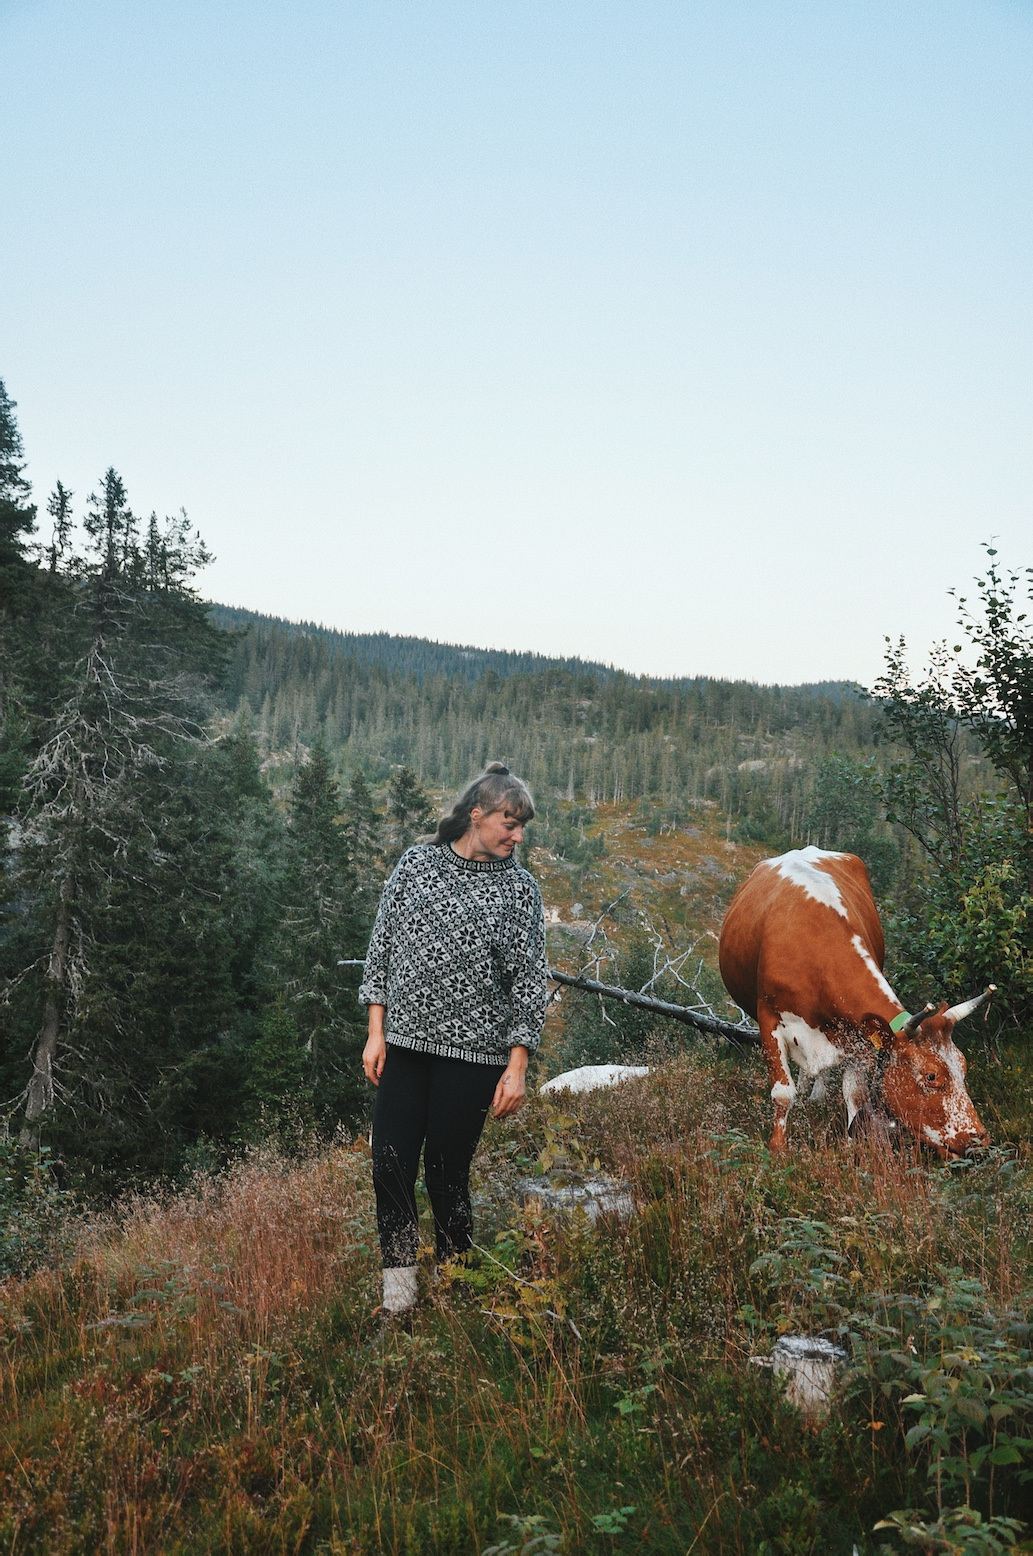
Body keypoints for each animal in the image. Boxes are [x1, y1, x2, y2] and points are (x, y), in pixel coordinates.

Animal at [718, 852, 995, 1157]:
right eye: (931, 1076)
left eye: (963, 1066)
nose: (978, 1139)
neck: (816, 947)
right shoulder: (768, 1019)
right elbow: (782, 1093)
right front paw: (778, 1147)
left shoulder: (855, 1034)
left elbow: (855, 1094)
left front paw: (853, 1145)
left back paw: (815, 1095)